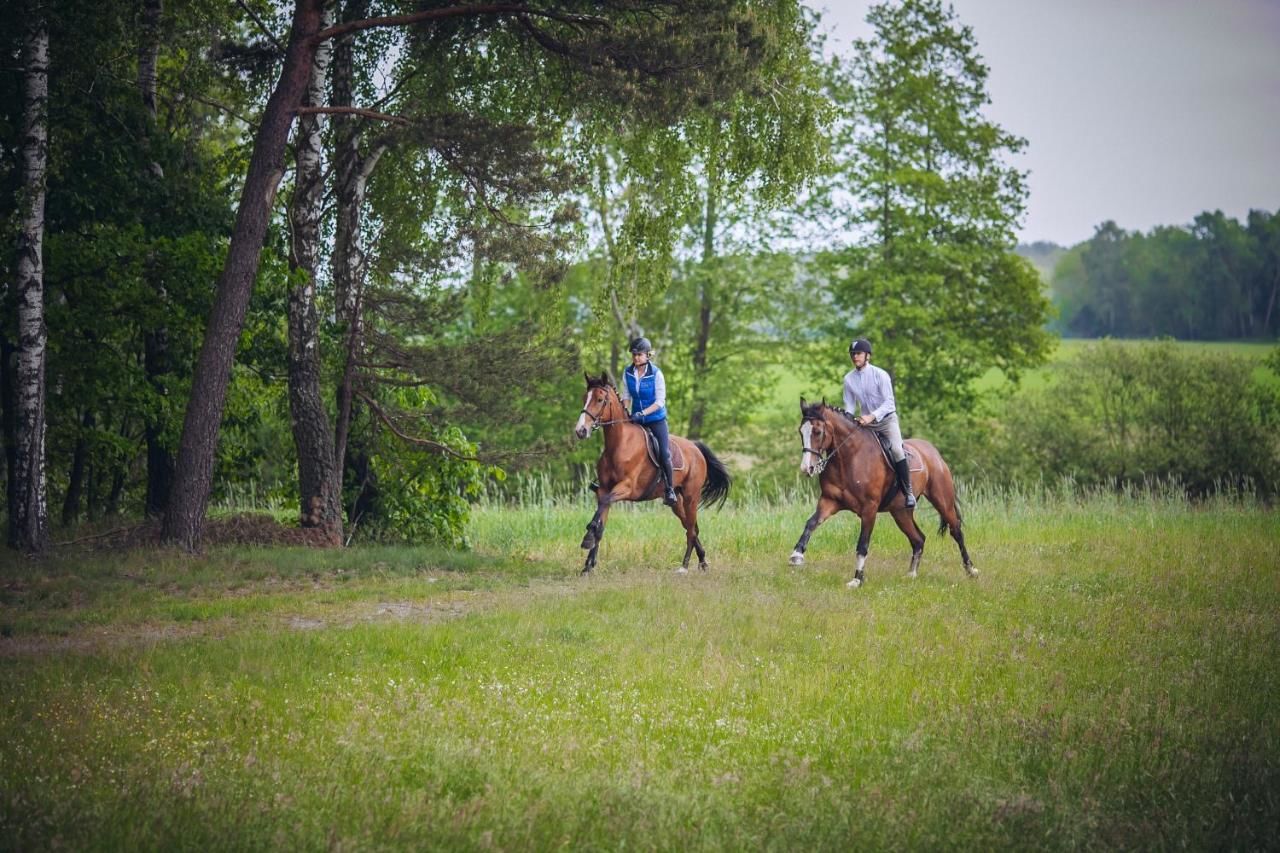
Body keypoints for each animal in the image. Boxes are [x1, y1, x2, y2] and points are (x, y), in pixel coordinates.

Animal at [573, 371, 732, 571]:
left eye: (600, 399)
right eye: (584, 398)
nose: (580, 430)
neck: (619, 444)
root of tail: (695, 448)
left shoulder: (626, 488)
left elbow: (603, 506)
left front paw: (587, 539)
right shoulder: (603, 489)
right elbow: (601, 521)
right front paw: (588, 565)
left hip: (691, 496)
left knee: (690, 529)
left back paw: (684, 566)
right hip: (676, 501)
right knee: (691, 527)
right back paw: (702, 561)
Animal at [783, 397, 972, 584]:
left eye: (817, 432)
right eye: (801, 432)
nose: (807, 468)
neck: (849, 459)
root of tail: (933, 452)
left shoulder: (869, 508)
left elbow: (862, 544)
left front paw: (857, 579)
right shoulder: (829, 501)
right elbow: (811, 523)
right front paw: (796, 555)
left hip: (942, 501)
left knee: (956, 531)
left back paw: (971, 570)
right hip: (900, 512)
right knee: (918, 539)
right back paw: (911, 574)